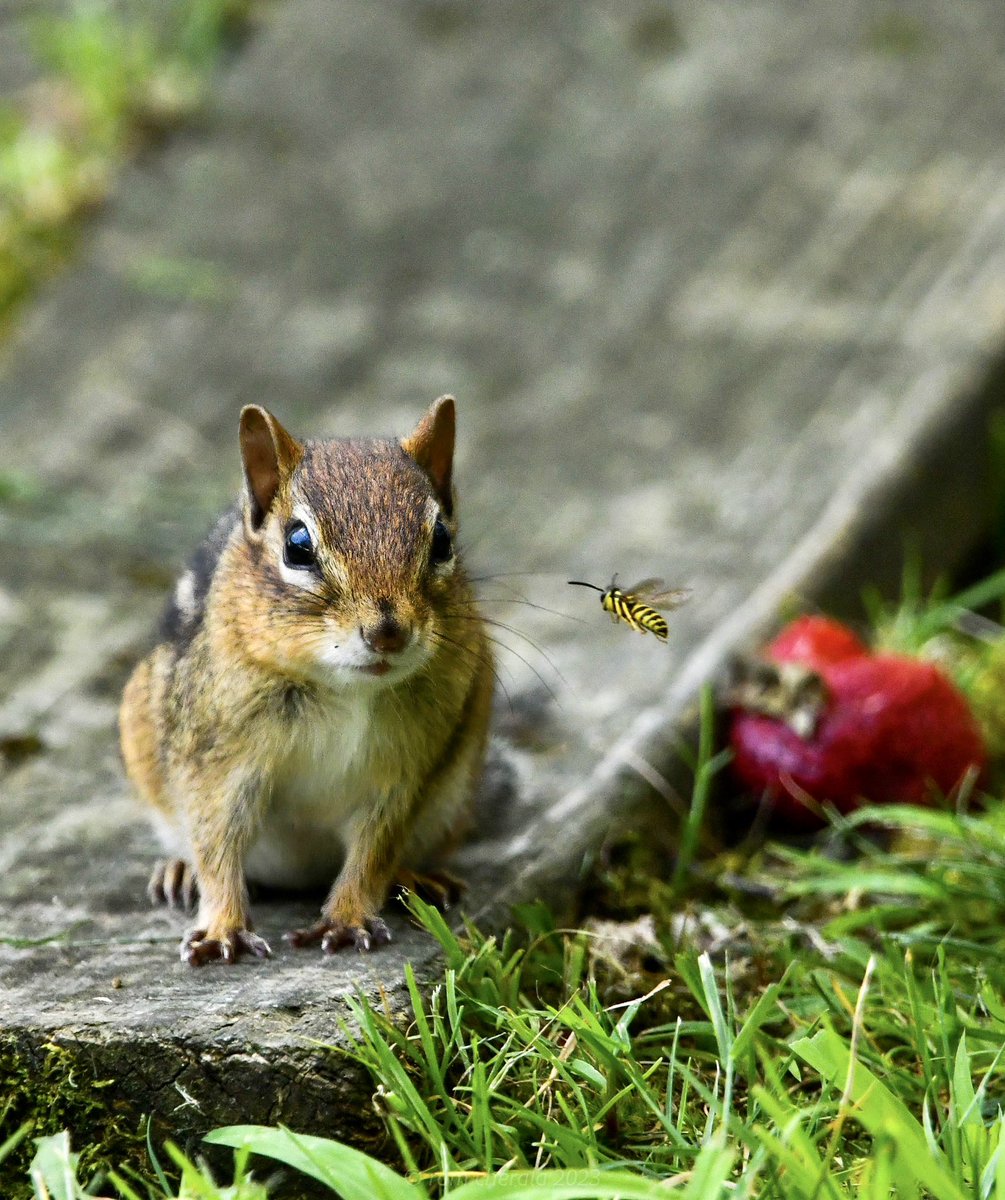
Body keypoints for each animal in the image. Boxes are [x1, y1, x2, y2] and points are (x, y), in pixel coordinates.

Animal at [119, 396, 494, 966]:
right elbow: (216, 842)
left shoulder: (403, 772)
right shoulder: (217, 762)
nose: (388, 633)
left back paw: (416, 877)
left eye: (442, 540)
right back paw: (178, 872)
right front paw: (223, 927)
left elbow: (373, 851)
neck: (345, 690)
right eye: (297, 545)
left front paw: (346, 918)